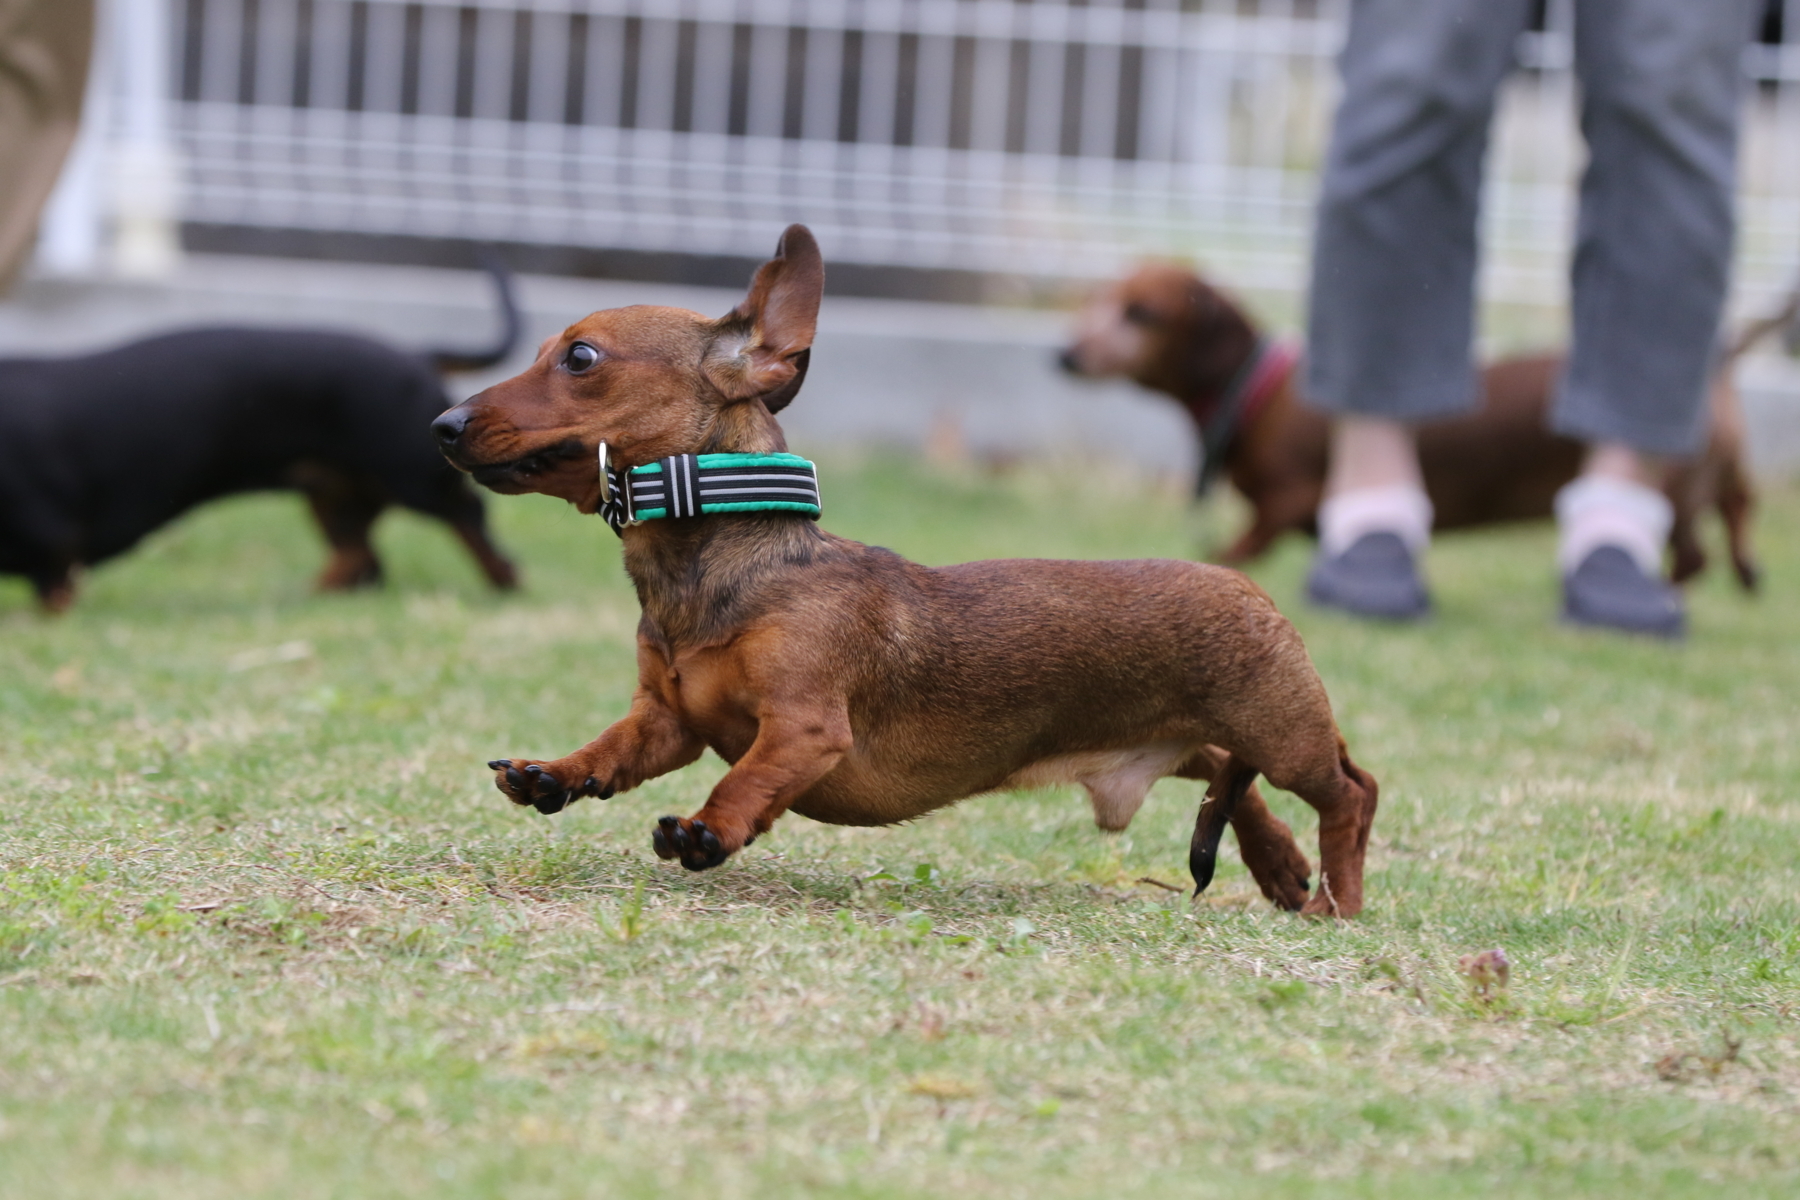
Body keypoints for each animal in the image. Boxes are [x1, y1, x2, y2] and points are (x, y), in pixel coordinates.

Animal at [432, 224, 1375, 913]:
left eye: (580, 357)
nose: (441, 423)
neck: (717, 571)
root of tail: (1246, 583)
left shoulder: (805, 729)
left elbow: (750, 777)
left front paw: (710, 829)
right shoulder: (668, 720)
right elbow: (615, 748)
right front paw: (556, 773)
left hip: (1282, 734)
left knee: (1349, 790)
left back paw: (1338, 898)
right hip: (1183, 738)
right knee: (1224, 774)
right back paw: (1280, 866)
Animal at [1058, 262, 1764, 590]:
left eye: (1141, 312)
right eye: (1094, 300)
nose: (1063, 356)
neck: (1255, 388)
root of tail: (1716, 361)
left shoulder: (1291, 495)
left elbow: (1244, 544)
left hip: (1671, 491)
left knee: (1699, 547)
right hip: (1711, 478)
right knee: (1733, 510)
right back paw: (1744, 571)